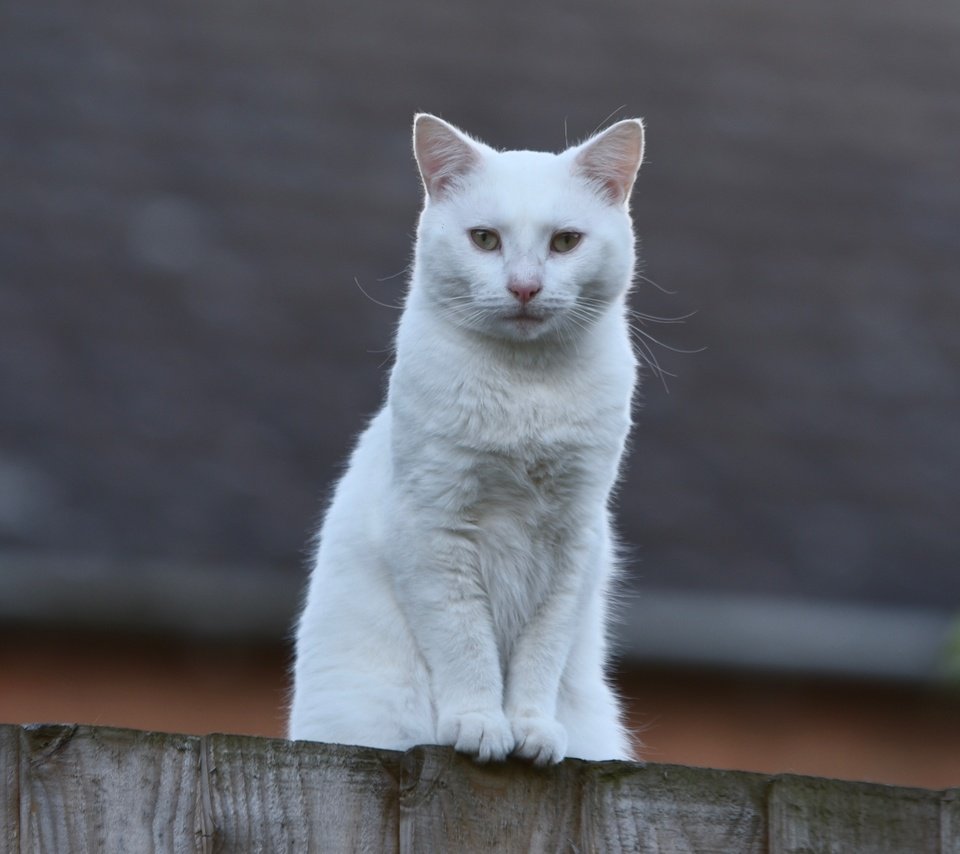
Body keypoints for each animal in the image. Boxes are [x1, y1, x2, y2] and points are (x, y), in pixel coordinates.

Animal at [286, 110, 644, 764]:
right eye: (485, 239)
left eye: (565, 242)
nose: (525, 287)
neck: (526, 390)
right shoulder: (433, 528)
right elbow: (465, 643)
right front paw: (479, 725)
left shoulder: (573, 540)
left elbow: (539, 654)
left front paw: (531, 730)